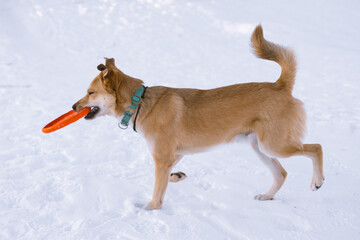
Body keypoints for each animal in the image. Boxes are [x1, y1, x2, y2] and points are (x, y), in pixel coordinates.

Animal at [72, 25, 324, 210]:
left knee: (316, 147)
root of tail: (280, 86)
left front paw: (150, 209)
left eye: (90, 92)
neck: (140, 101)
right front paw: (177, 177)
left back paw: (317, 181)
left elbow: (157, 191)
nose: (74, 107)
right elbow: (168, 179)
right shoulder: (174, 155)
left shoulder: (162, 157)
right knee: (281, 173)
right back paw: (266, 196)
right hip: (259, 147)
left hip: (274, 144)